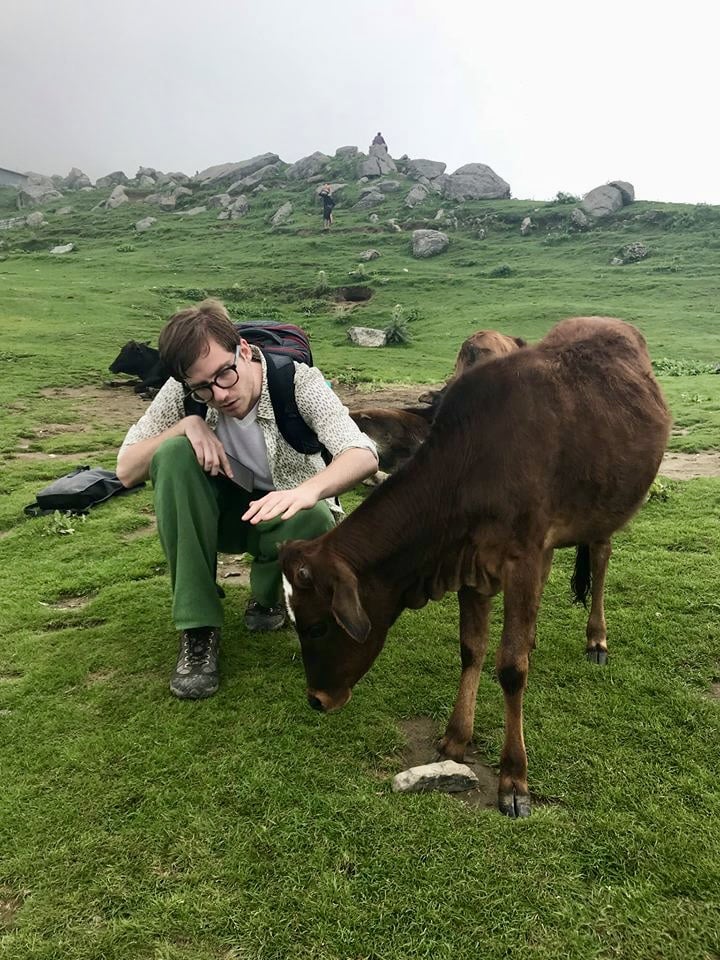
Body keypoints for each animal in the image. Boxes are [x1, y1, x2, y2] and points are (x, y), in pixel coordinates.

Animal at [280, 316, 668, 816]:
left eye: (316, 627)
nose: (316, 699)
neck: (474, 467)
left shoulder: (520, 559)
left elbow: (511, 670)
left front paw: (514, 778)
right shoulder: (470, 563)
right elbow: (472, 649)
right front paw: (455, 737)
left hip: (606, 504)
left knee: (600, 558)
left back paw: (596, 638)